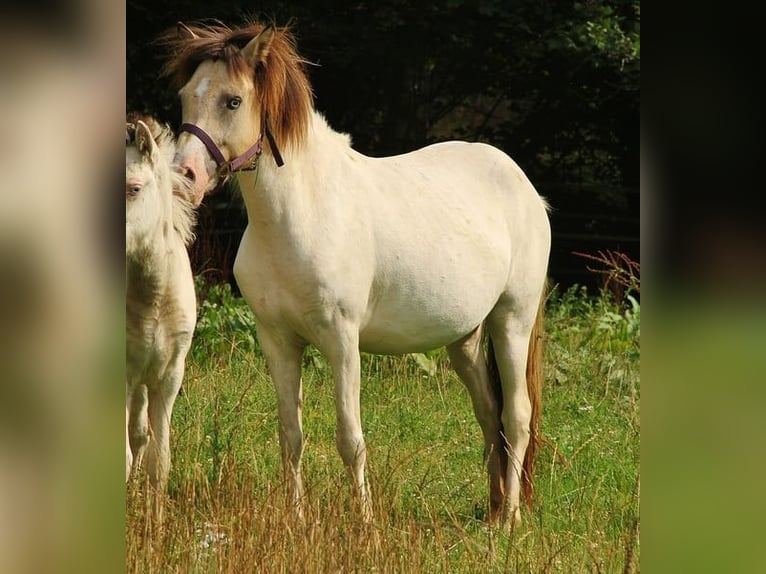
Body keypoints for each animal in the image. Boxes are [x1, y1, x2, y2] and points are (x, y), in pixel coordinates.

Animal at [162, 21, 550, 526]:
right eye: (186, 96)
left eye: (232, 100)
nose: (184, 176)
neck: (300, 213)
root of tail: (525, 186)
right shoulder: (277, 341)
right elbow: (291, 436)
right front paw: (296, 521)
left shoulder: (342, 342)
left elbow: (351, 438)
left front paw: (364, 524)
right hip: (464, 339)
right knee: (488, 415)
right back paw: (494, 508)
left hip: (512, 321)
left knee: (516, 418)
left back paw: (508, 522)